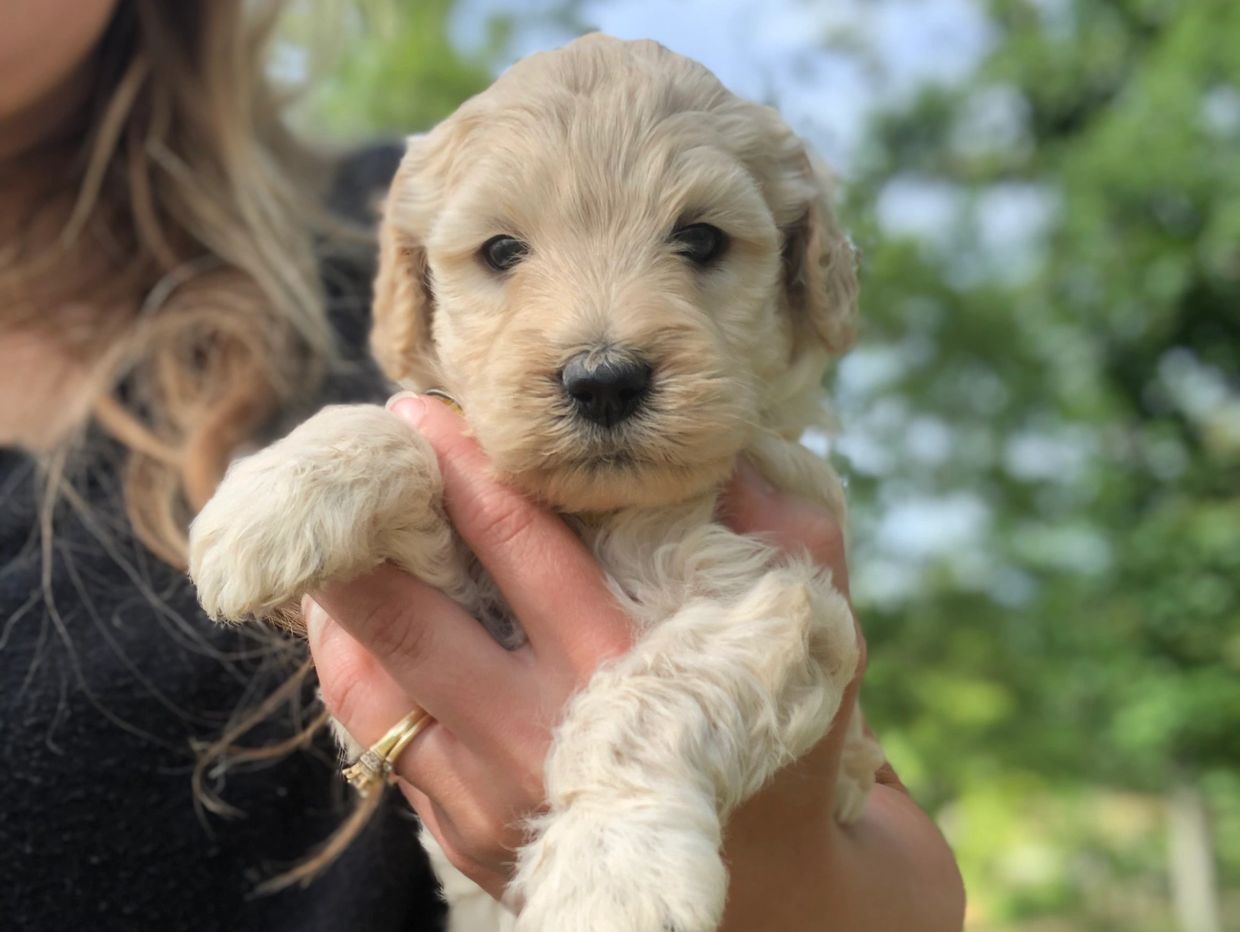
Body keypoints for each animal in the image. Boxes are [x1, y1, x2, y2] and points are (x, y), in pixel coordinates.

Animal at [188, 32, 887, 931]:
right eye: (501, 252)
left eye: (700, 241)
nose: (603, 381)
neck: (604, 513)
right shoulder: (467, 601)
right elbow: (421, 435)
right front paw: (280, 489)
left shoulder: (798, 602)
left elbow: (651, 696)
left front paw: (613, 871)